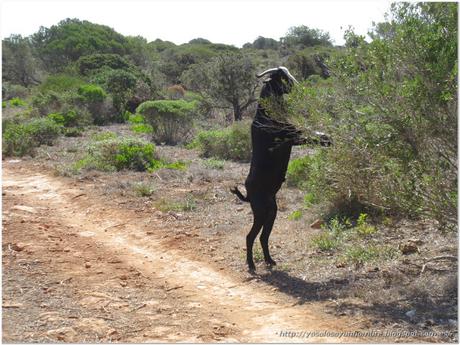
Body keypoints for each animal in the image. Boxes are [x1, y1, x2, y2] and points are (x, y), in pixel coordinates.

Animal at [232, 66, 328, 270]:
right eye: (282, 77)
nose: (298, 88)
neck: (266, 114)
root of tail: (248, 194)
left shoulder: (293, 135)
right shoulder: (291, 136)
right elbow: (310, 135)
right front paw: (329, 139)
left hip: (271, 212)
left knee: (263, 237)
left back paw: (270, 260)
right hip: (260, 212)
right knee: (250, 236)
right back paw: (251, 265)